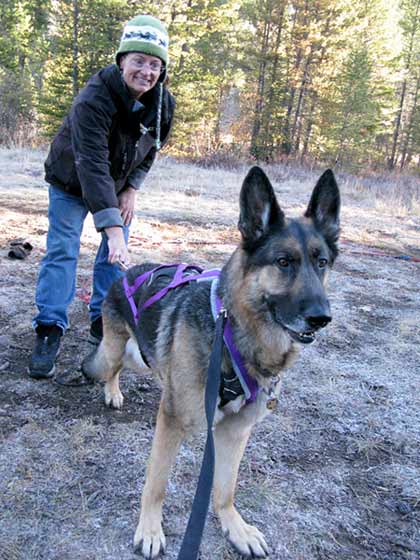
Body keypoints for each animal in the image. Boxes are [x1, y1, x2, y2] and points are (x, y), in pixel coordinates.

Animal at [81, 167, 338, 560]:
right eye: (284, 262)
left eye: (321, 262)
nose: (321, 318)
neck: (233, 332)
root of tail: (127, 272)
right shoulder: (172, 421)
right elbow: (156, 482)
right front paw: (150, 529)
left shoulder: (236, 430)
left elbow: (225, 488)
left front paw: (234, 527)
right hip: (115, 348)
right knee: (110, 363)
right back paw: (111, 391)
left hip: (144, 355)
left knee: (129, 363)